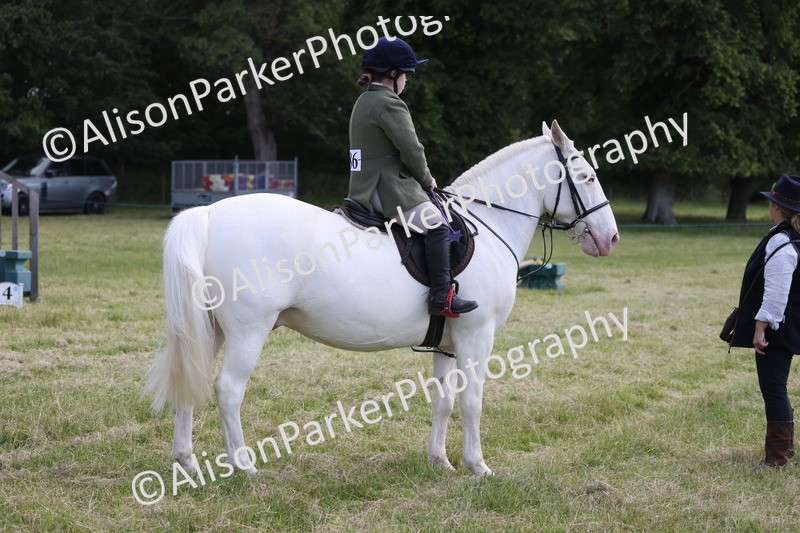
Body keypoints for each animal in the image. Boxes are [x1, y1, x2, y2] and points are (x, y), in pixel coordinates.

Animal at [145, 120, 619, 477]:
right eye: (587, 177)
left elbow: (444, 400)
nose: (610, 238)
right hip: (248, 331)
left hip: (210, 329)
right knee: (227, 389)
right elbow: (472, 401)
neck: (488, 222)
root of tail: (208, 214)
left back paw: (186, 462)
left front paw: (440, 461)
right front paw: (478, 466)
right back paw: (244, 466)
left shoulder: (447, 343)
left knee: (192, 380)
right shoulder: (476, 336)